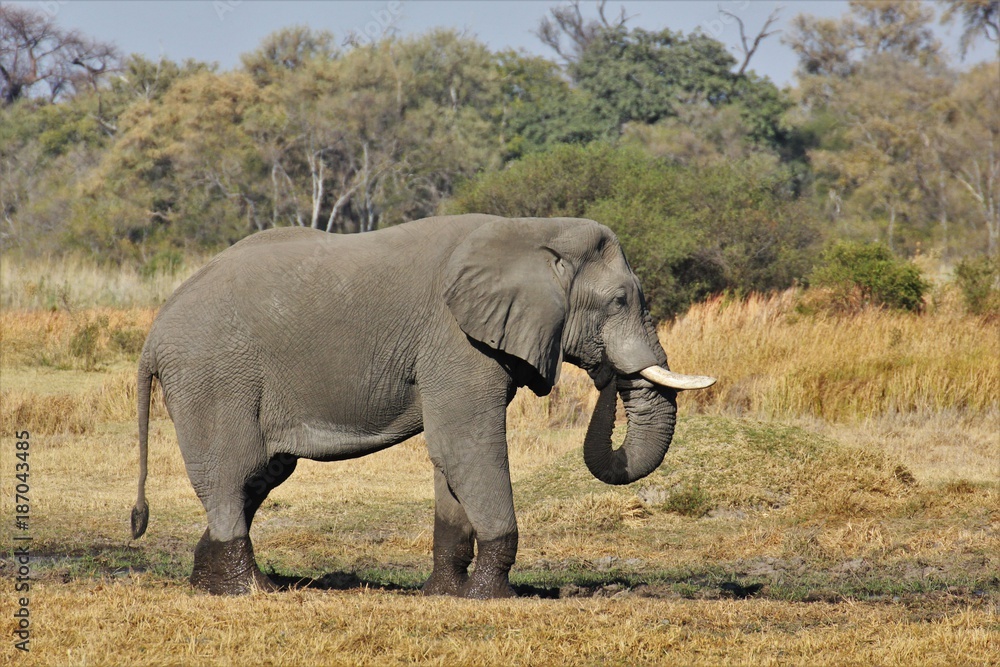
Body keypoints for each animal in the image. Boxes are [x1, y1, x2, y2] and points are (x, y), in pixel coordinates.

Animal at [131, 214, 712, 600]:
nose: (608, 374)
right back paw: (251, 590)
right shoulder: (455, 340)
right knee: (231, 472)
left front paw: (445, 594)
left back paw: (206, 583)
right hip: (213, 378)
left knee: (262, 474)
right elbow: (465, 446)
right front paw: (491, 599)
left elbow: (449, 459)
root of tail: (152, 335)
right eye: (618, 301)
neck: (530, 231)